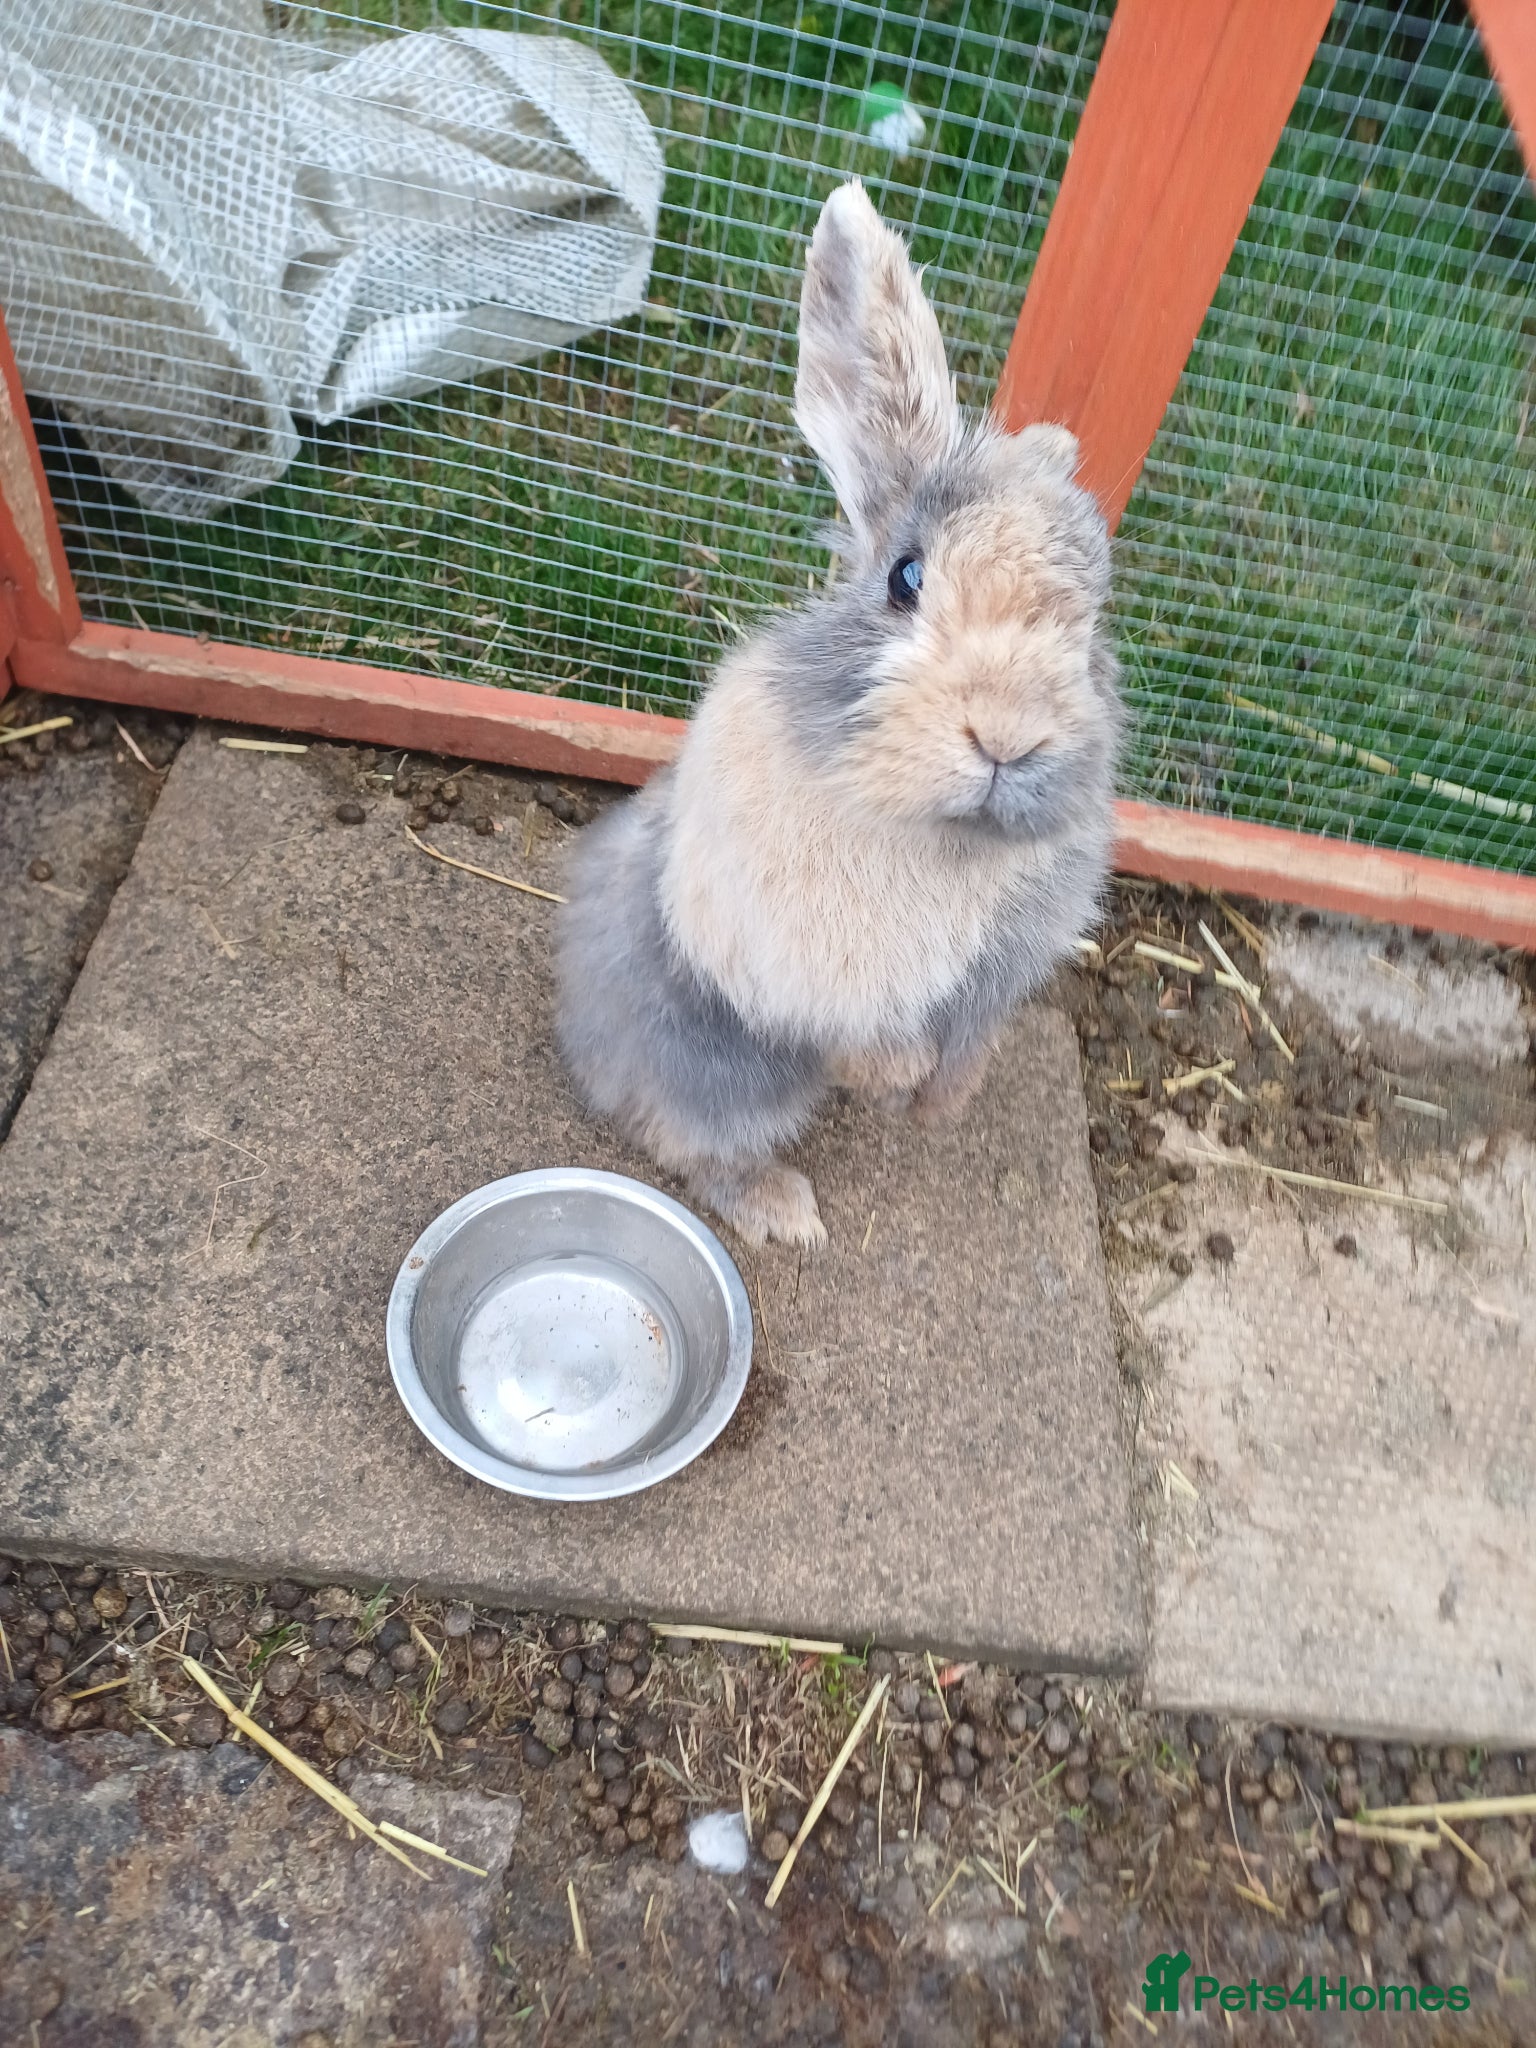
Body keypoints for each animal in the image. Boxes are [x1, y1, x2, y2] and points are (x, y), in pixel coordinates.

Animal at [556, 178, 1123, 1248]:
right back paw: (785, 1211)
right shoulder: (804, 964)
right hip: (727, 1075)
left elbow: (968, 1044)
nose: (1007, 734)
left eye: (1095, 620)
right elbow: (859, 1033)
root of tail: (588, 1047)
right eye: (906, 578)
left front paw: (939, 1107)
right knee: (689, 1140)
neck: (939, 829)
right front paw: (895, 1080)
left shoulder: (995, 975)